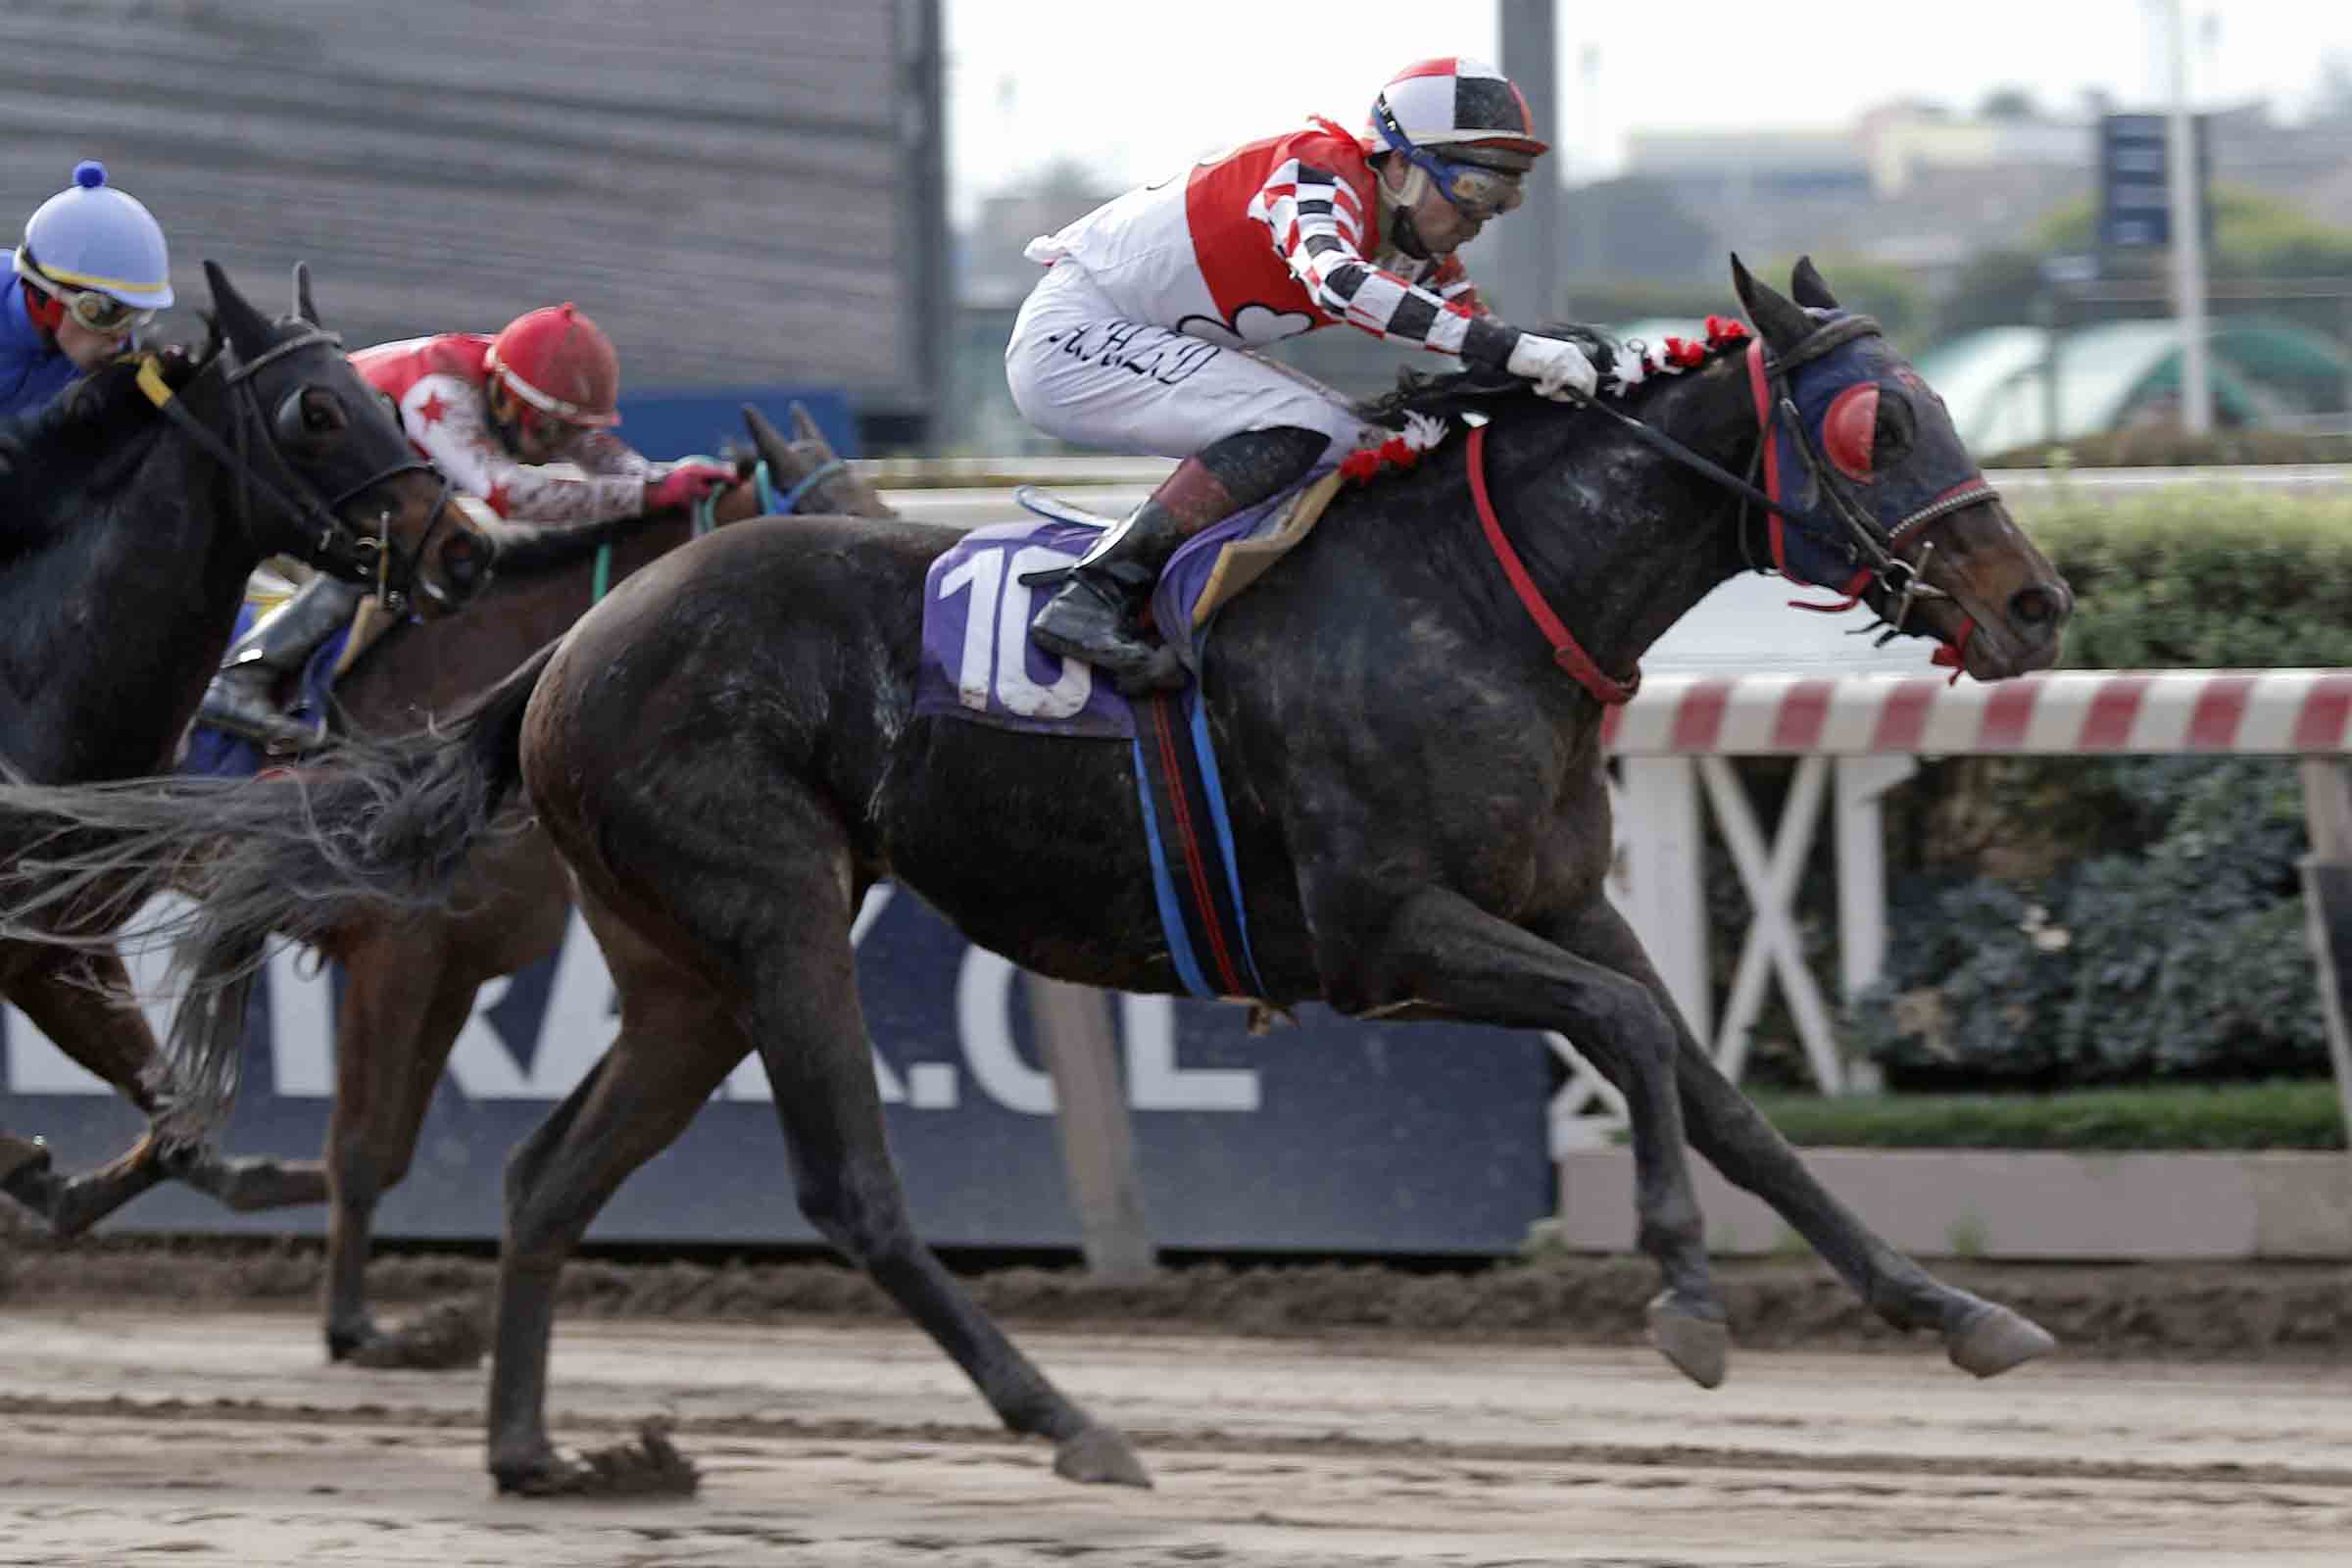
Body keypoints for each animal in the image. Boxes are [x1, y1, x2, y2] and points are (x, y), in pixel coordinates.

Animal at [0, 262, 679, 1235]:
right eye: (313, 413)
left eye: (384, 411)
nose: (463, 552)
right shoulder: (396, 936)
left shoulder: (64, 946)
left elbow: (196, 1131)